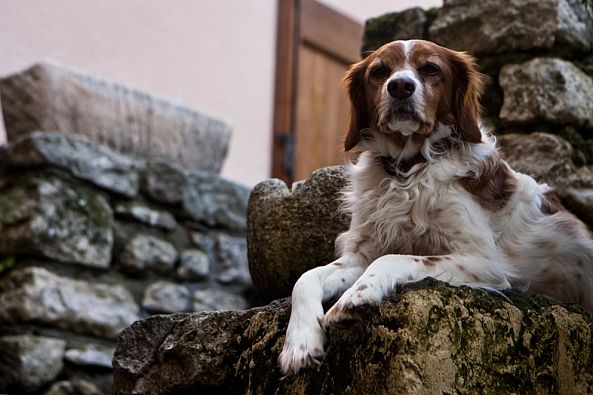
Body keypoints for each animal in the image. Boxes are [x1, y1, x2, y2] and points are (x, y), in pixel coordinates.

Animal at [278, 38, 592, 376]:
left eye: (430, 69)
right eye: (379, 71)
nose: (400, 86)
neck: (408, 171)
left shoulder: (485, 261)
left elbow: (394, 258)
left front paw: (356, 297)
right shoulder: (359, 255)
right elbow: (304, 278)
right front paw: (299, 344)